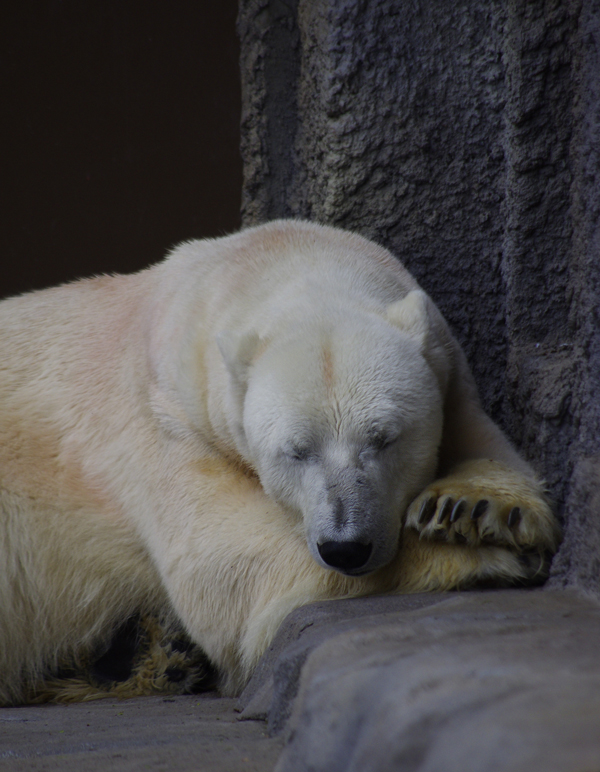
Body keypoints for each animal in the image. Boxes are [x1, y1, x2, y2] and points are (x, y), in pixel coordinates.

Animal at [0, 219, 560, 704]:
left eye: (383, 439)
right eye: (296, 450)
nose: (346, 547)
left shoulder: (446, 367)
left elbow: (481, 439)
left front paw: (474, 512)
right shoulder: (164, 420)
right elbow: (223, 566)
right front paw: (483, 555)